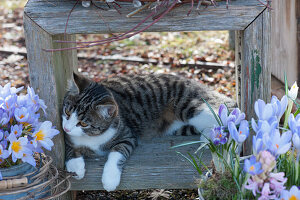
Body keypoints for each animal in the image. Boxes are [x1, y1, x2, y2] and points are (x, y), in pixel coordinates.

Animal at [61, 72, 234, 191]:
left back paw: (216, 134)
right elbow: (69, 148)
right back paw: (207, 137)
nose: (66, 127)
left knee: (225, 112)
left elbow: (117, 153)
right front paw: (75, 167)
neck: (91, 138)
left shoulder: (127, 135)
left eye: (83, 123)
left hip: (189, 107)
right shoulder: (68, 138)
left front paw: (110, 179)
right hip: (178, 126)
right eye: (67, 112)